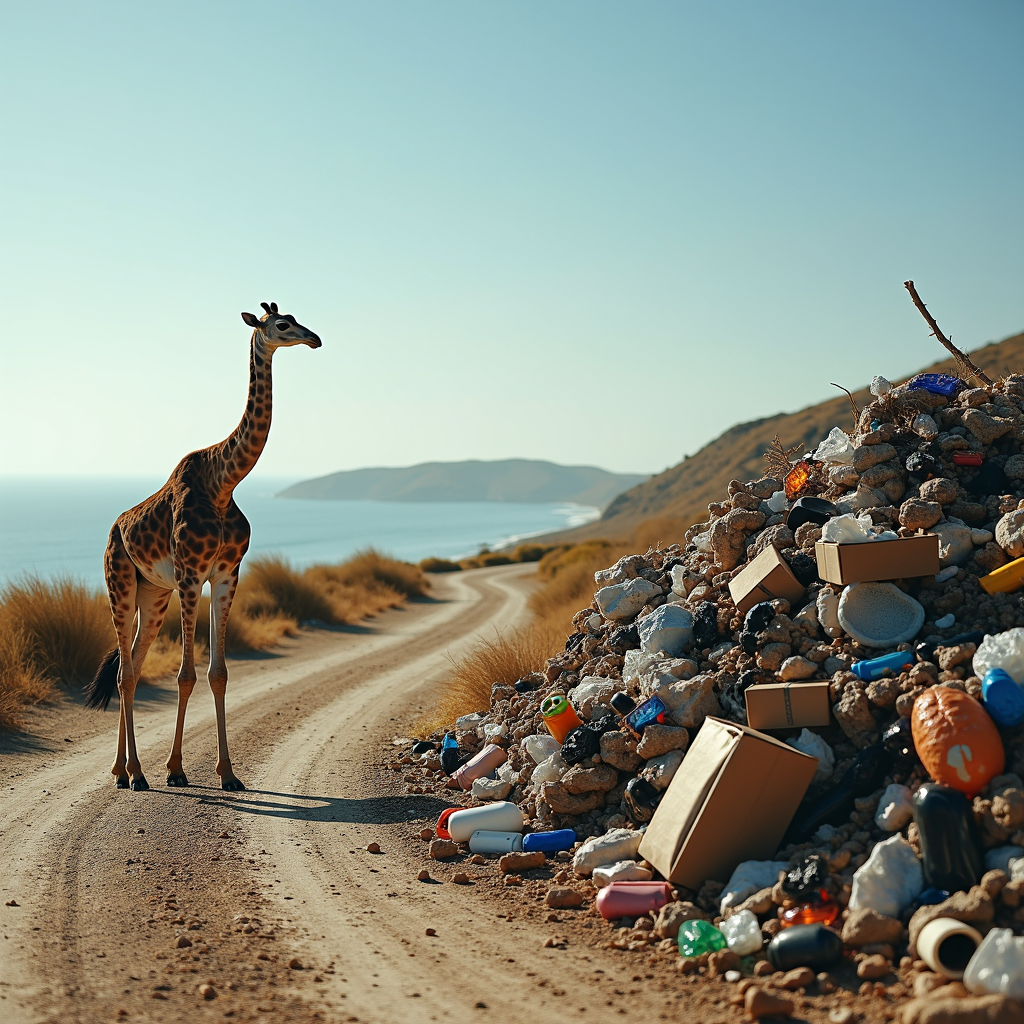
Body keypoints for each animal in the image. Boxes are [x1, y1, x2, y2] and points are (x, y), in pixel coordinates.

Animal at [86, 303, 321, 790]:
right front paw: (175, 769)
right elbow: (186, 675)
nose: (315, 339)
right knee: (125, 673)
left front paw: (228, 773)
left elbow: (219, 674)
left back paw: (120, 769)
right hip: (120, 584)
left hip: (153, 594)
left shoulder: (227, 574)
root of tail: (114, 529)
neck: (223, 483)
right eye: (282, 324)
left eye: (297, 318)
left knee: (131, 667)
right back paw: (136, 773)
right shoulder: (191, 574)